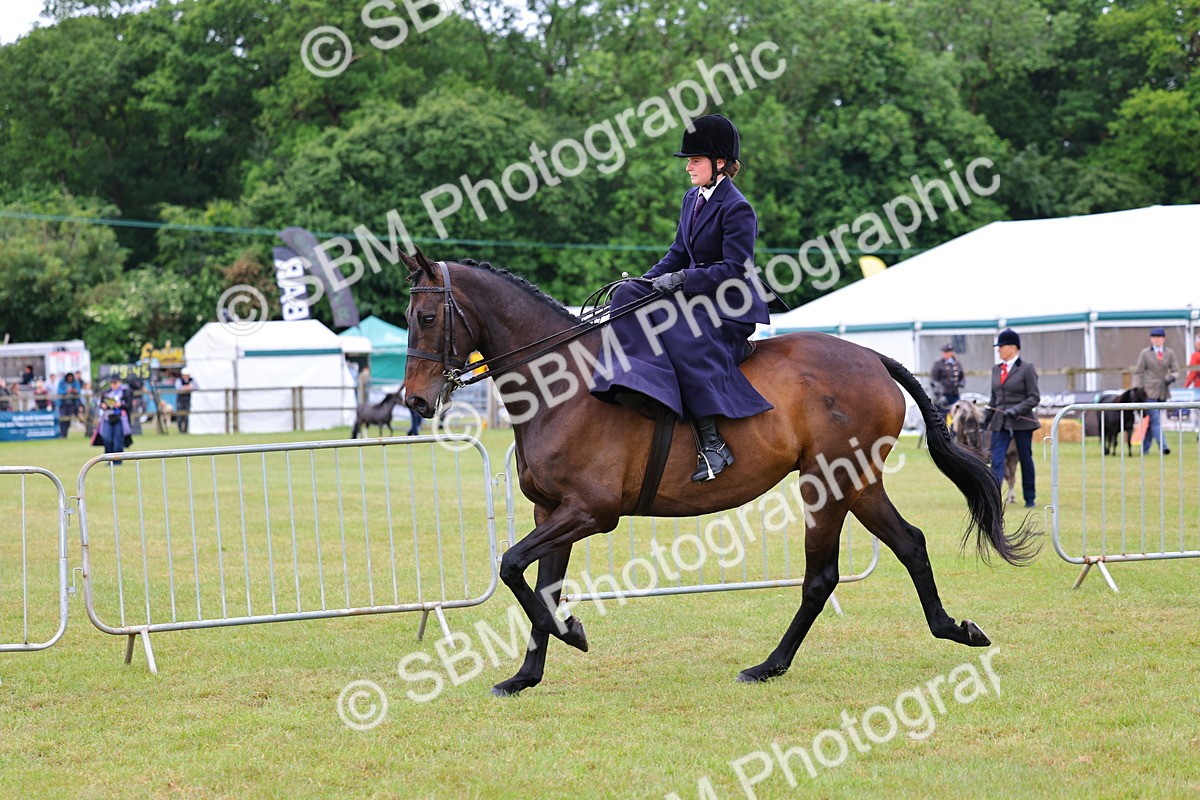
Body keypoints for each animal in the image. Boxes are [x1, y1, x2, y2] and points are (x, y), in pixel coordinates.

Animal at [400, 252, 1038, 696]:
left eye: (428, 317)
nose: (415, 401)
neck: (564, 384)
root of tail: (872, 357)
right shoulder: (551, 510)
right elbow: (540, 584)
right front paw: (527, 675)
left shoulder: (589, 512)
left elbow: (512, 567)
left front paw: (572, 633)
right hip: (856, 483)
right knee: (909, 543)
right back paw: (954, 628)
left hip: (828, 483)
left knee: (821, 577)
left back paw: (769, 666)